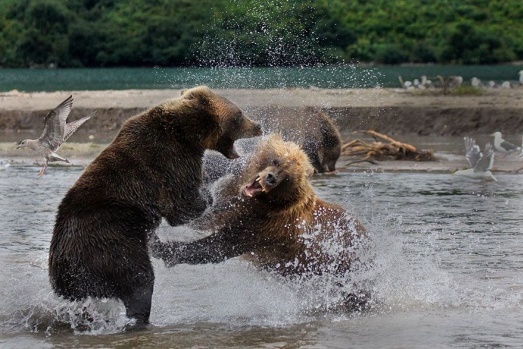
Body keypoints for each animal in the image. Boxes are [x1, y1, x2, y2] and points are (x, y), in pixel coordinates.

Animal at [48, 85, 262, 328]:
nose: (258, 125)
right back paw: (140, 317)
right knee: (139, 280)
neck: (186, 132)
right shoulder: (170, 162)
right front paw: (217, 186)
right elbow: (184, 206)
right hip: (111, 242)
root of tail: (63, 262)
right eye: (239, 115)